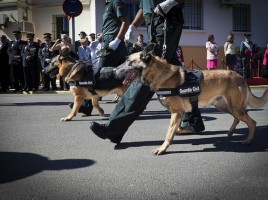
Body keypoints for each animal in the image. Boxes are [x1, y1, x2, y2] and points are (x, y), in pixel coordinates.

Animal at [127, 44, 268, 155]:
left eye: (128, 61)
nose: (119, 69)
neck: (158, 73)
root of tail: (241, 77)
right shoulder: (179, 113)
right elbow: (175, 128)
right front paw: (184, 131)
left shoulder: (176, 112)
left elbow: (169, 132)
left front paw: (162, 148)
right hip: (225, 107)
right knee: (238, 119)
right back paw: (231, 132)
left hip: (235, 108)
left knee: (252, 122)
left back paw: (248, 140)